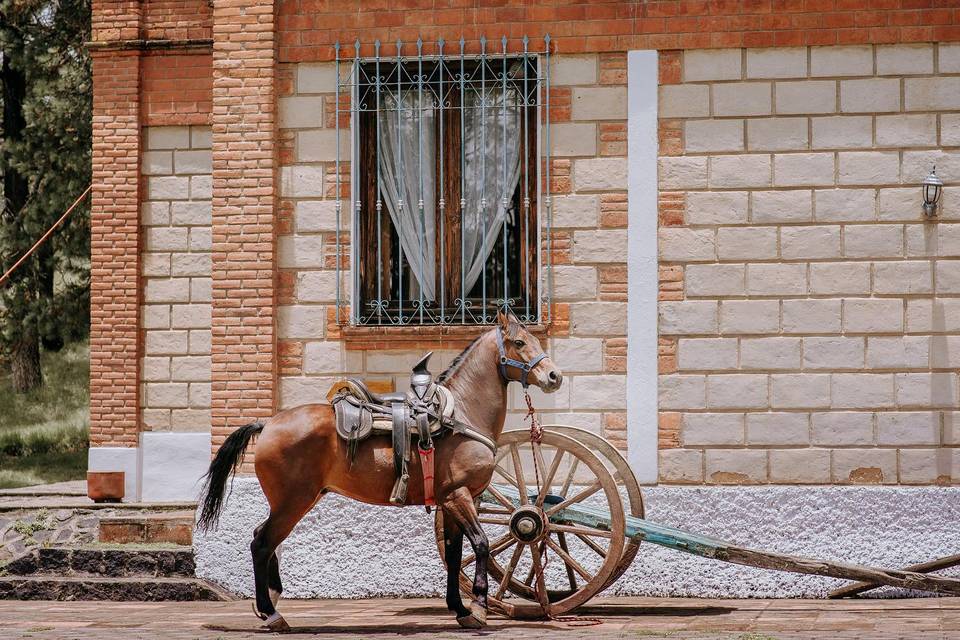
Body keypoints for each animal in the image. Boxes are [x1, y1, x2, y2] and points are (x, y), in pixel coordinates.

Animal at [197, 311, 563, 631]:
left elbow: (455, 554)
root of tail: (269, 423)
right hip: (293, 502)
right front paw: (478, 608)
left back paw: (270, 602)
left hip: (295, 501)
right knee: (262, 543)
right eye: (519, 342)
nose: (554, 376)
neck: (458, 415)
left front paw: (459, 609)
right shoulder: (459, 496)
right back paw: (272, 613)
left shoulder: (450, 501)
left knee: (267, 540)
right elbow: (482, 544)